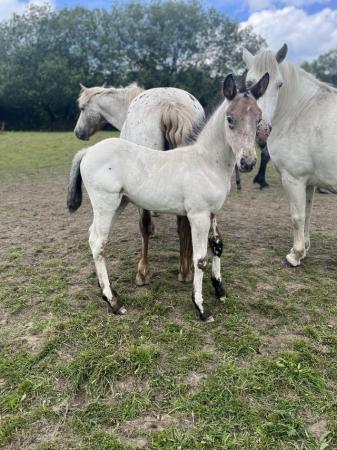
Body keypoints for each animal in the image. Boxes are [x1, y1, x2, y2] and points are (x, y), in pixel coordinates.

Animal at [67, 73, 270, 320]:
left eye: (258, 119)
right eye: (230, 118)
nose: (248, 162)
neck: (206, 161)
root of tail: (88, 151)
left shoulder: (213, 212)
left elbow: (217, 245)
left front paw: (220, 290)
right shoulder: (198, 215)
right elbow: (200, 259)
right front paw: (201, 307)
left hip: (118, 204)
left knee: (92, 236)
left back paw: (106, 290)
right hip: (106, 204)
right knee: (98, 242)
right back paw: (114, 302)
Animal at [243, 44, 336, 266]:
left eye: (279, 85)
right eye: (249, 83)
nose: (261, 130)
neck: (301, 112)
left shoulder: (294, 179)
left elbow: (297, 216)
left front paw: (295, 254)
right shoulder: (309, 182)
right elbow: (307, 214)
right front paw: (305, 248)